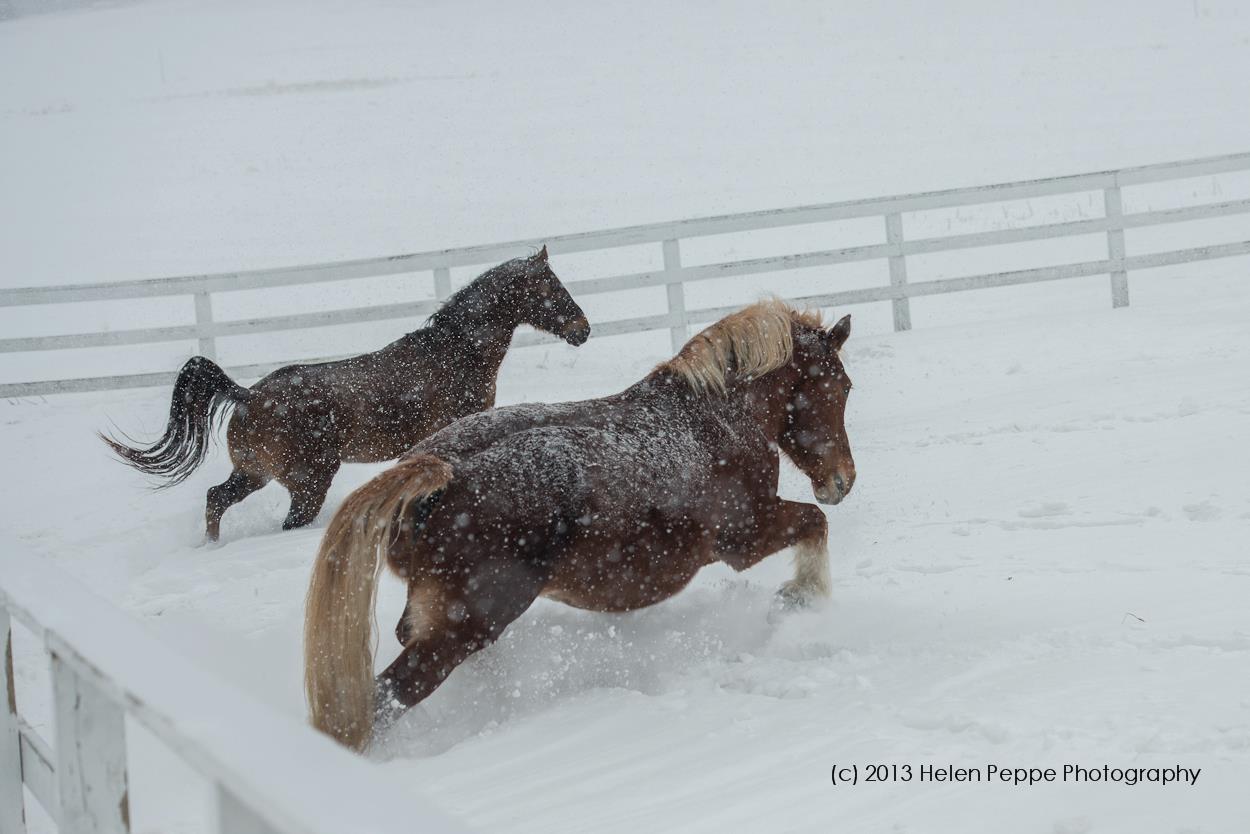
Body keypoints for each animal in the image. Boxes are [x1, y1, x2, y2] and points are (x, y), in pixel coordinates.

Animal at [102, 247, 590, 541]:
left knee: (215, 499)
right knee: (283, 519)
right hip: (308, 481)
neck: (453, 355)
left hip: (254, 473)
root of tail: (246, 397)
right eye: (552, 288)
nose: (583, 330)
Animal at [303, 298, 856, 750]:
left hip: (453, 621)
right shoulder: (745, 536)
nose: (843, 480)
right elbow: (816, 523)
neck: (714, 418)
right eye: (842, 386)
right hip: (461, 629)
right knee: (387, 697)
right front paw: (803, 600)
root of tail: (438, 474)